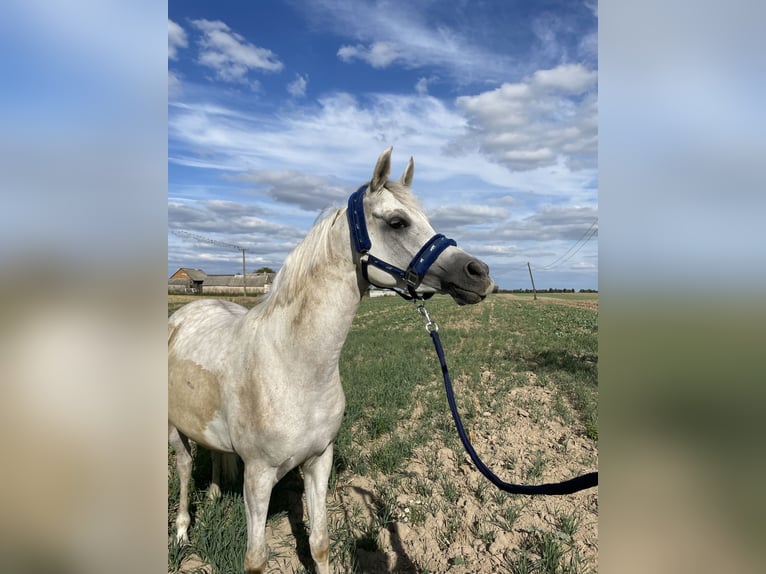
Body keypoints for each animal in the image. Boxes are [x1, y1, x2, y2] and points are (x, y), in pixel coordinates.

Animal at [168, 147, 494, 573]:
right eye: (397, 221)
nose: (479, 273)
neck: (293, 368)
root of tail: (183, 314)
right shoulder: (258, 477)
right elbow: (256, 558)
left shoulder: (319, 461)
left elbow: (319, 543)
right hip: (173, 431)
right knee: (184, 469)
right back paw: (181, 533)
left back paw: (213, 498)